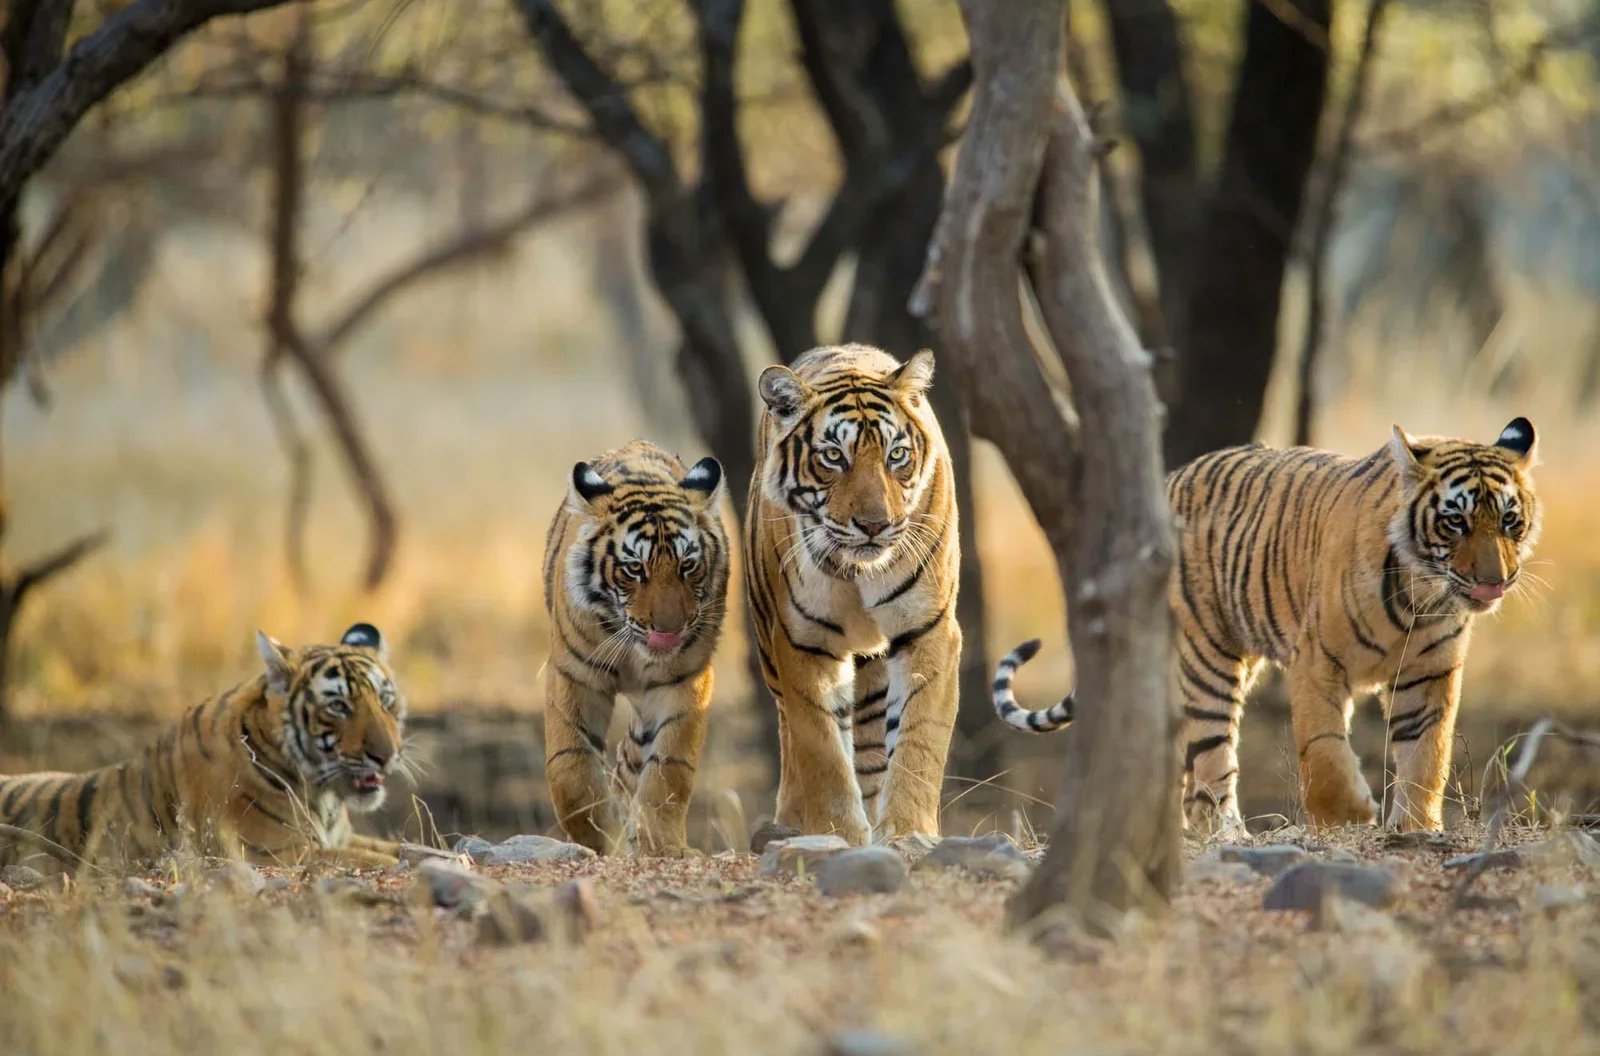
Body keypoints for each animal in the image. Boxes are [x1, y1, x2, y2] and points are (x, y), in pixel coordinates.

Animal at [0, 624, 409, 870]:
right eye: (338, 706)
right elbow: (381, 860)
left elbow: (406, 848)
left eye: (385, 700)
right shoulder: (278, 852)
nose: (386, 756)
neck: (325, 797)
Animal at [544, 438, 732, 857]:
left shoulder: (684, 679)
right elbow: (571, 769)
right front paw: (597, 840)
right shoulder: (574, 675)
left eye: (688, 565)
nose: (669, 630)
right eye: (634, 569)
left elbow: (669, 769)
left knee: (632, 763)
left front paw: (661, 845)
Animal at [748, 342, 960, 844]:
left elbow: (919, 738)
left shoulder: (928, 629)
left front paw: (907, 831)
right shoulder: (803, 642)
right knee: (792, 737)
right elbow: (821, 749)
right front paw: (838, 833)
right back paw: (789, 822)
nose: (874, 525)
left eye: (896, 454)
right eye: (832, 457)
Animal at [998, 416, 1536, 838]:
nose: (1495, 581)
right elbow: (1323, 750)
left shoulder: (1429, 675)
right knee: (1211, 758)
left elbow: (1428, 753)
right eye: (1455, 522)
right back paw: (1226, 834)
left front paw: (1418, 827)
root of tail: (1168, 479)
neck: (1420, 596)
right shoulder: (1317, 662)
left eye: (1510, 521)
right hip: (1207, 658)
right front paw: (1348, 816)